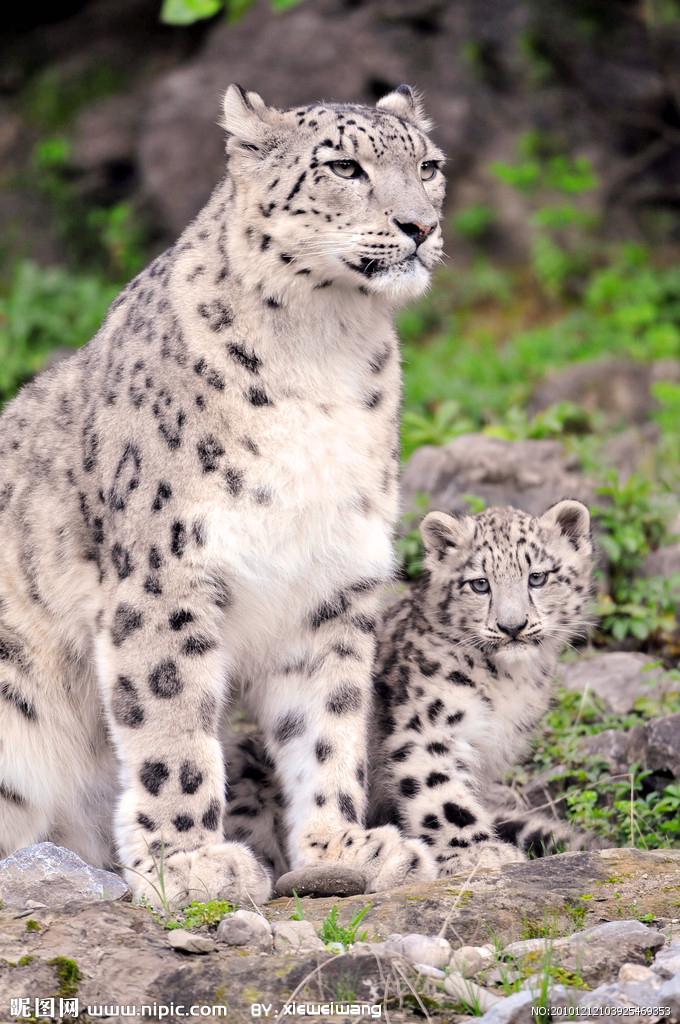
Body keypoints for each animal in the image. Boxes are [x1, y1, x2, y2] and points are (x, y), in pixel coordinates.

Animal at [0, 83, 446, 908]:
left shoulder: (330, 586)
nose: (420, 225)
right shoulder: (165, 577)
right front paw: (191, 864)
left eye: (428, 166)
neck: (325, 352)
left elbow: (330, 726)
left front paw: (346, 848)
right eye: (344, 166)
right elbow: (171, 723)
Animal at [221, 500, 595, 879]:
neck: (510, 680)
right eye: (479, 584)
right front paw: (478, 851)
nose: (512, 626)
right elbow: (442, 795)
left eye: (538, 577)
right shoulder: (427, 729)